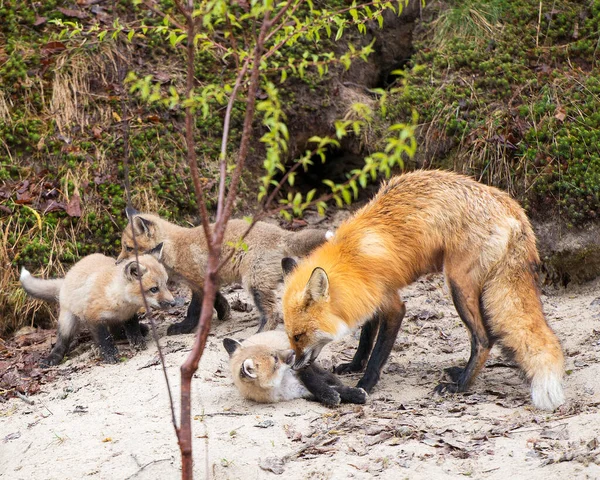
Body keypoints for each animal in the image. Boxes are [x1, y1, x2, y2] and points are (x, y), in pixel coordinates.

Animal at [282, 169, 564, 408]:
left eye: (299, 336)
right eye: (290, 336)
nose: (293, 366)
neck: (352, 258)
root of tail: (514, 208)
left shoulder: (393, 305)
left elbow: (378, 353)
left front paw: (365, 384)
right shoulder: (369, 298)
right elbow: (365, 338)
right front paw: (354, 365)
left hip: (457, 285)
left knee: (483, 339)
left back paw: (461, 385)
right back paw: (459, 373)